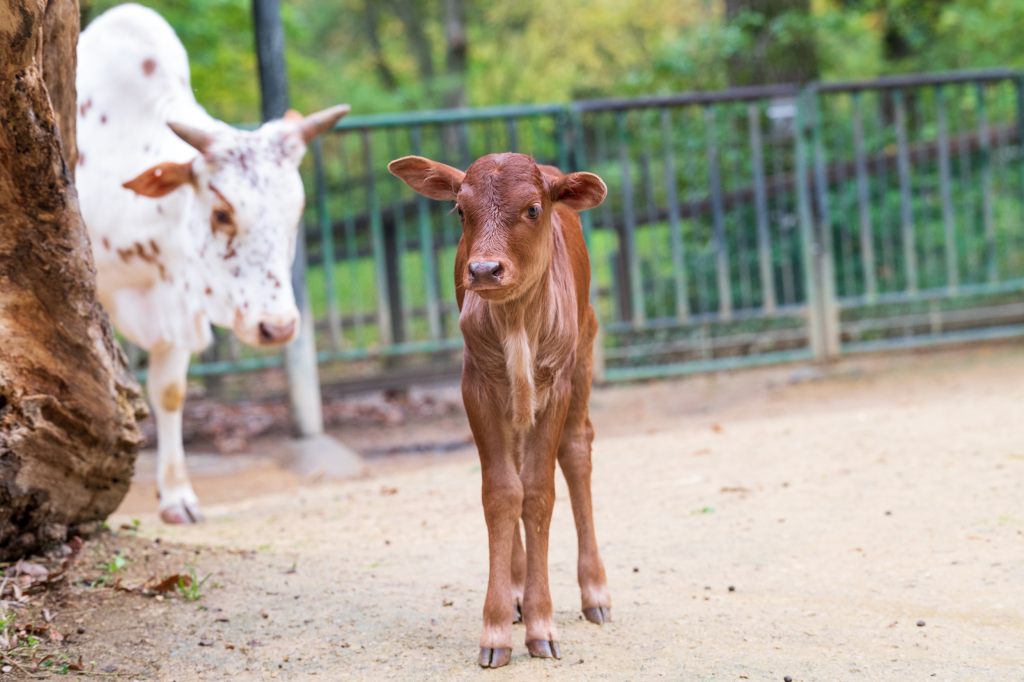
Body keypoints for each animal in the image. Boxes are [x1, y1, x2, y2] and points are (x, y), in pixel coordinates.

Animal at [75, 3, 348, 520]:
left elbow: (169, 391)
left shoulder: (178, 297)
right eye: (222, 212)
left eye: (296, 210)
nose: (278, 327)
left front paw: (176, 494)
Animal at [385, 152, 606, 663]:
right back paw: (519, 592)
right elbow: (503, 493)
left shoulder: (557, 383)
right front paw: (497, 628)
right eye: (460, 210)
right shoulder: (476, 386)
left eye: (532, 209)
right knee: (517, 470)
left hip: (585, 347)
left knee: (576, 449)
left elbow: (540, 492)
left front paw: (543, 626)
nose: (484, 270)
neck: (517, 325)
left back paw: (595, 593)